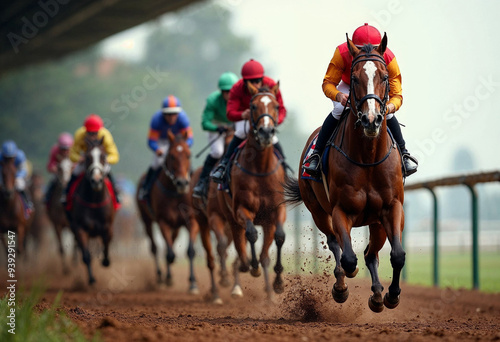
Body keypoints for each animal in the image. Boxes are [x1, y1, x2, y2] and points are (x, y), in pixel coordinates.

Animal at [68, 138, 116, 284]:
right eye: (88, 157)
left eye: (103, 156)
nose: (96, 180)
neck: (94, 200)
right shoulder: (80, 228)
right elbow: (86, 255)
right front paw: (92, 279)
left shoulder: (107, 227)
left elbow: (106, 246)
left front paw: (106, 261)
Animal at [137, 130, 201, 294]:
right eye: (171, 156)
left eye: (188, 155)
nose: (182, 183)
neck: (174, 192)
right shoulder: (162, 221)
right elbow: (170, 254)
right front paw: (168, 277)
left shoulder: (191, 220)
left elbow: (190, 251)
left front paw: (193, 283)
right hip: (146, 220)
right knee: (155, 248)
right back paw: (161, 277)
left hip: (176, 227)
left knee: (170, 243)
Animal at [218, 83, 288, 300]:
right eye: (253, 106)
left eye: (276, 106)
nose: (266, 132)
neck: (260, 169)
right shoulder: (242, 209)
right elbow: (250, 234)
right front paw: (252, 266)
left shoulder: (276, 210)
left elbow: (280, 236)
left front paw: (278, 282)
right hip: (230, 218)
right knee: (239, 242)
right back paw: (243, 267)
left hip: (265, 222)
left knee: (265, 251)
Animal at [286, 32, 406, 312]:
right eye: (354, 78)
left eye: (384, 77)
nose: (371, 120)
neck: (368, 158)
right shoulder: (340, 210)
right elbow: (348, 257)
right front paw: (344, 283)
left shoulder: (392, 207)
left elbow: (397, 255)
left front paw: (392, 295)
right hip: (318, 210)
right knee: (337, 245)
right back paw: (343, 285)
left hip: (376, 222)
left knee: (371, 254)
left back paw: (377, 295)